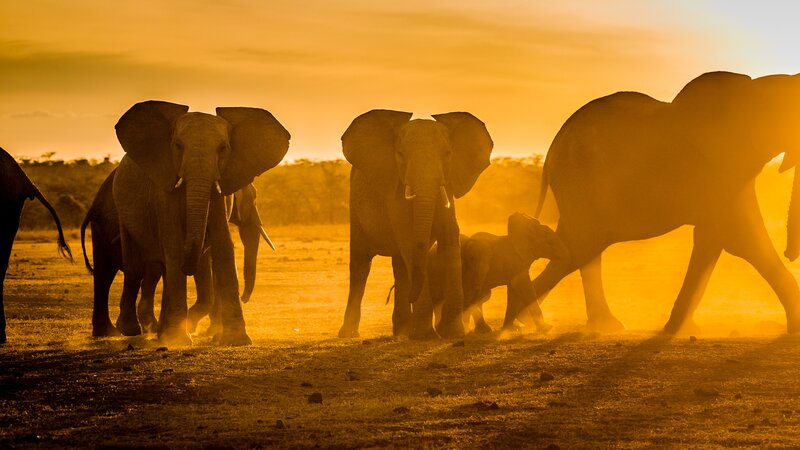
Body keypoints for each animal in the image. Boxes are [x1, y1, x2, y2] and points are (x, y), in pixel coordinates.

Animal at [80, 169, 273, 337]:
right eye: (254, 197)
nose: (244, 298)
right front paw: (192, 326)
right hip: (104, 226)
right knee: (107, 273)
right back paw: (119, 331)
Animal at [112, 101, 289, 345]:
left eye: (223, 148)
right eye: (177, 146)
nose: (245, 299)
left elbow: (223, 245)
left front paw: (237, 340)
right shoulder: (163, 188)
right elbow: (173, 244)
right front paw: (179, 340)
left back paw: (161, 333)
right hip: (122, 206)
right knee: (134, 265)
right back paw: (131, 330)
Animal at [338, 110, 493, 339]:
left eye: (448, 153)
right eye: (400, 154)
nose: (413, 295)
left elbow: (450, 238)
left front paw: (453, 333)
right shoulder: (395, 195)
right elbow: (410, 239)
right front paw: (426, 335)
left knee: (400, 266)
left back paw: (401, 331)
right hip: (356, 211)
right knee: (360, 265)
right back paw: (350, 333)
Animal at [524, 71, 800, 334]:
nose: (789, 254)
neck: (759, 88)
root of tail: (551, 151)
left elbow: (712, 238)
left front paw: (680, 328)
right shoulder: (721, 166)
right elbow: (740, 238)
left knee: (580, 248)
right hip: (581, 185)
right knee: (578, 248)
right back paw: (528, 320)